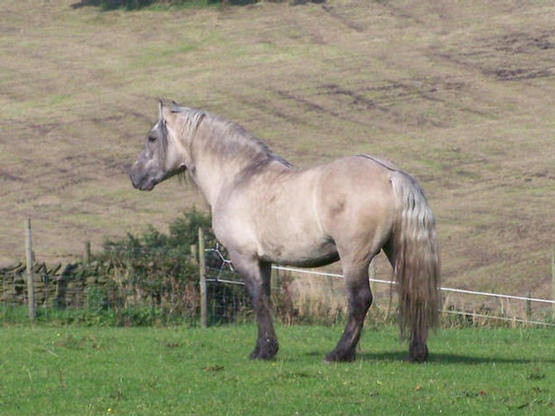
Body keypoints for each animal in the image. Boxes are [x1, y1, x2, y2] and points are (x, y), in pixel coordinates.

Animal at [129, 100, 438, 360]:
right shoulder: (264, 261)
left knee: (360, 301)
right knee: (413, 294)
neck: (239, 176)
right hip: (395, 250)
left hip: (355, 258)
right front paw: (266, 348)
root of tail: (391, 175)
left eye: (152, 138)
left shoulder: (244, 257)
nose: (134, 176)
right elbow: (266, 298)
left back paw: (339, 353)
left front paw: (263, 351)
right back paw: (416, 352)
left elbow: (257, 299)